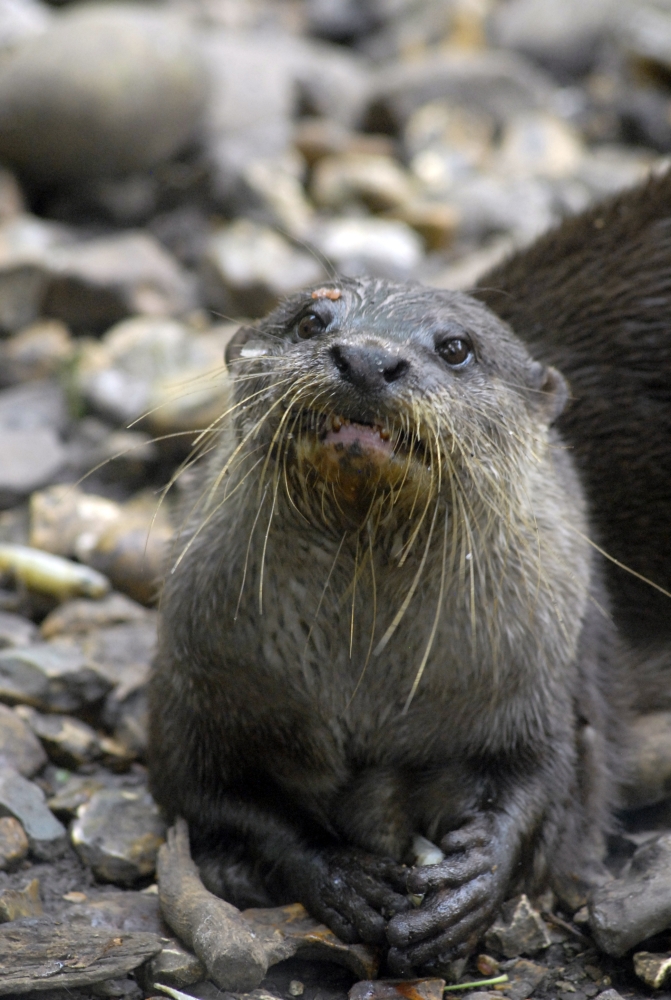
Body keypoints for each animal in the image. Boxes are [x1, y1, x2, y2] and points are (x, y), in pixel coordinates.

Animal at [148, 274, 627, 976]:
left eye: (456, 347)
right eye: (311, 320)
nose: (368, 359)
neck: (366, 680)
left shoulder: (545, 682)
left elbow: (547, 784)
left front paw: (471, 885)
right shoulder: (202, 680)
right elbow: (208, 794)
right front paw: (342, 875)